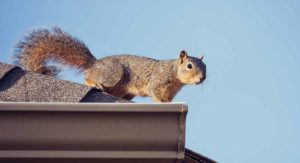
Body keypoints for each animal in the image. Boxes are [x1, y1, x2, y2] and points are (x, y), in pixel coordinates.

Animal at [14, 27, 206, 102]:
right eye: (189, 66)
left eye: (205, 67)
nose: (202, 78)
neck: (174, 73)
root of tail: (94, 64)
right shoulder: (157, 82)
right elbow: (155, 94)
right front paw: (161, 103)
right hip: (113, 75)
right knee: (89, 77)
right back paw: (94, 83)